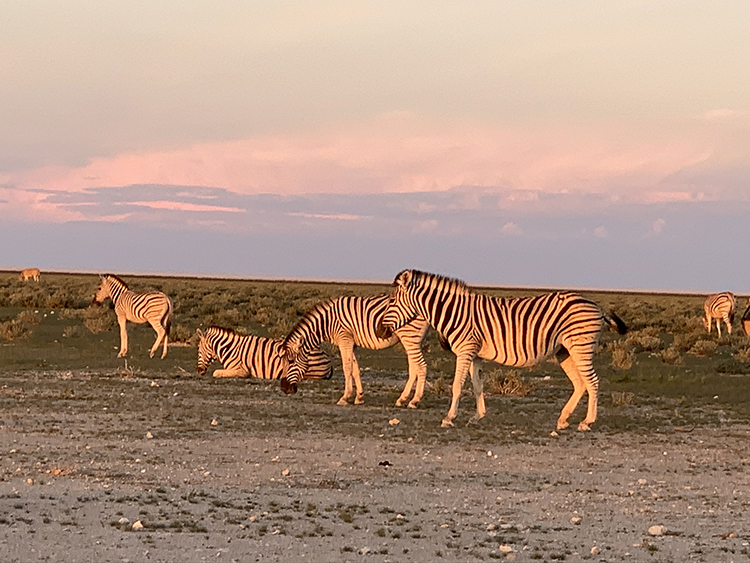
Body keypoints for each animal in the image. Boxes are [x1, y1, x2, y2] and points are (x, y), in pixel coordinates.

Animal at [276, 296, 432, 410]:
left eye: (290, 362)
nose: (284, 388)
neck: (326, 323)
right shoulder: (352, 343)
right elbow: (355, 369)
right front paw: (359, 397)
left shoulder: (344, 339)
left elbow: (347, 368)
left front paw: (345, 397)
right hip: (411, 340)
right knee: (414, 368)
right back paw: (402, 399)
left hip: (409, 337)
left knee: (422, 366)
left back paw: (414, 401)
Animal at [376, 270, 628, 432]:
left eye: (392, 301)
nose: (379, 330)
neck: (454, 312)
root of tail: (596, 305)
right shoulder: (475, 354)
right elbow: (477, 385)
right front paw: (478, 416)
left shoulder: (465, 350)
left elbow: (457, 385)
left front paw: (449, 418)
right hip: (564, 351)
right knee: (580, 383)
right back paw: (563, 419)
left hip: (581, 347)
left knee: (592, 381)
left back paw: (587, 422)